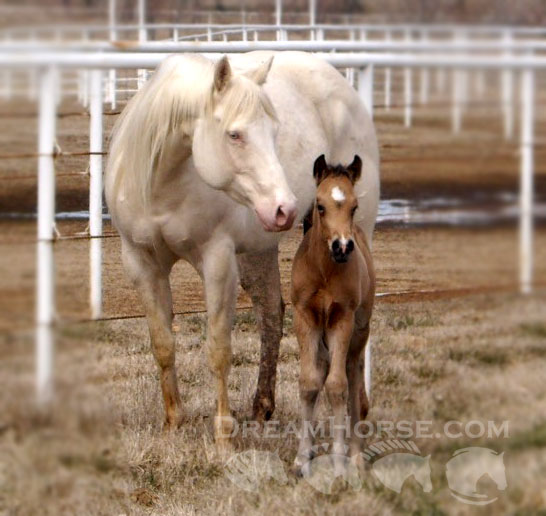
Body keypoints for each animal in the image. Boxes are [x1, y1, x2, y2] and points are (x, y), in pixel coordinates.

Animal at [288, 154, 374, 476]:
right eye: (320, 205)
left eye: (354, 207)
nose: (342, 247)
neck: (324, 271)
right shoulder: (305, 317)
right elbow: (309, 383)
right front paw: (301, 459)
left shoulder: (342, 318)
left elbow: (338, 387)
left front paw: (338, 462)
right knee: (324, 371)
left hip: (360, 332)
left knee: (354, 377)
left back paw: (356, 456)